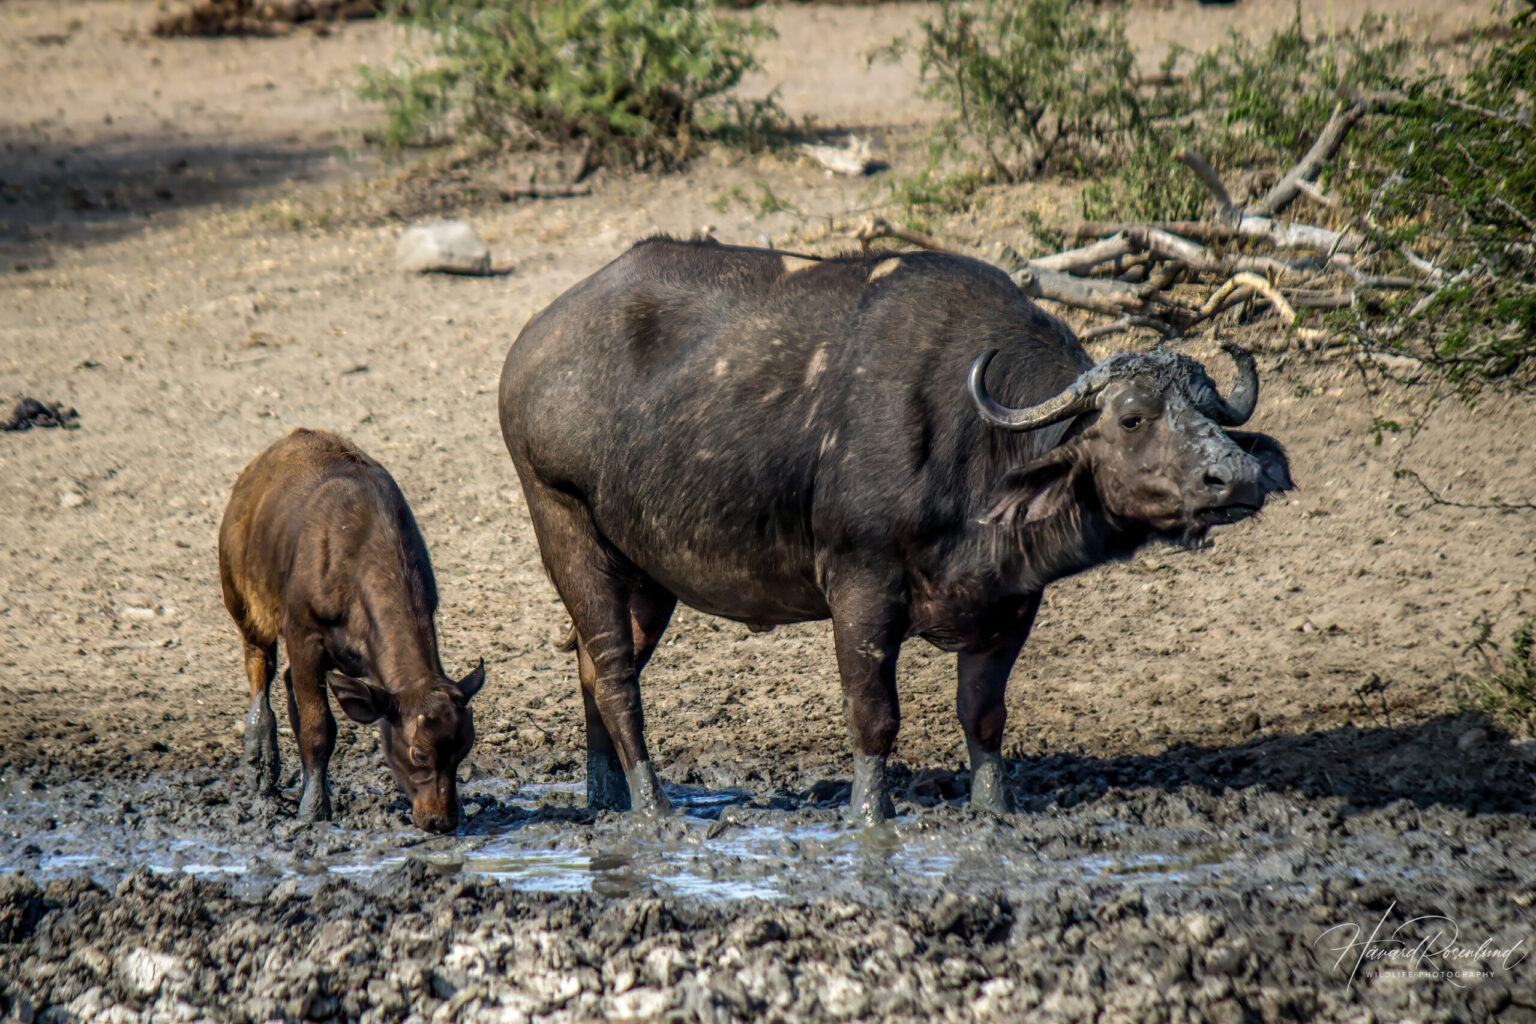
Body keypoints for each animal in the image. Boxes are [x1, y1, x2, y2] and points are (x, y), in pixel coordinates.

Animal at [498, 237, 1291, 823]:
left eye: (1210, 411)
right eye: (1131, 417)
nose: (1238, 478)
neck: (976, 444)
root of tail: (530, 345)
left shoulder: (1011, 605)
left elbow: (984, 717)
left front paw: (992, 811)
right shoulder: (861, 591)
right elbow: (875, 719)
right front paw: (870, 816)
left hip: (648, 571)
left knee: (593, 670)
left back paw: (606, 801)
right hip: (564, 528)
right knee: (614, 676)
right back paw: (654, 807)